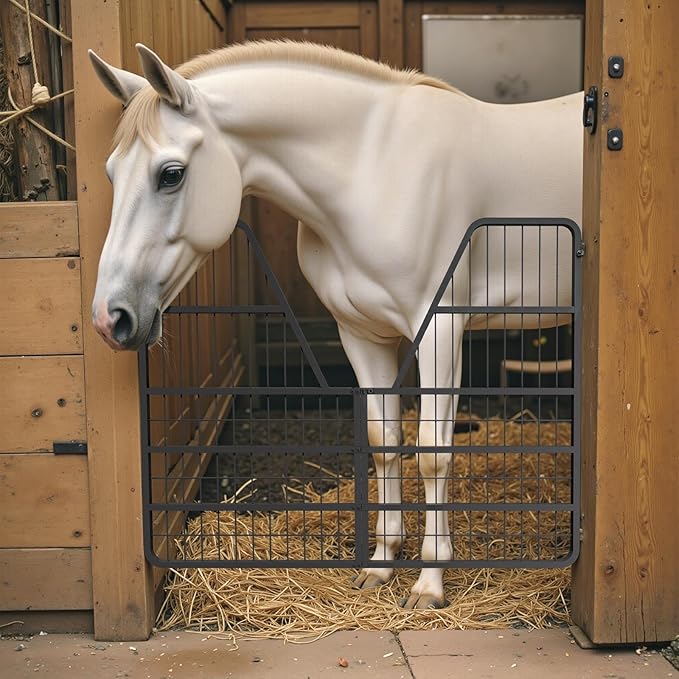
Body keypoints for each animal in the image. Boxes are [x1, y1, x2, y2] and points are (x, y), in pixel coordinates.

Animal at [89, 41, 583, 609]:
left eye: (170, 174)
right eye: (111, 173)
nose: (110, 317)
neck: (375, 168)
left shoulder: (439, 332)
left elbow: (432, 453)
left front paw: (429, 584)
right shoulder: (362, 334)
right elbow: (384, 438)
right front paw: (381, 564)